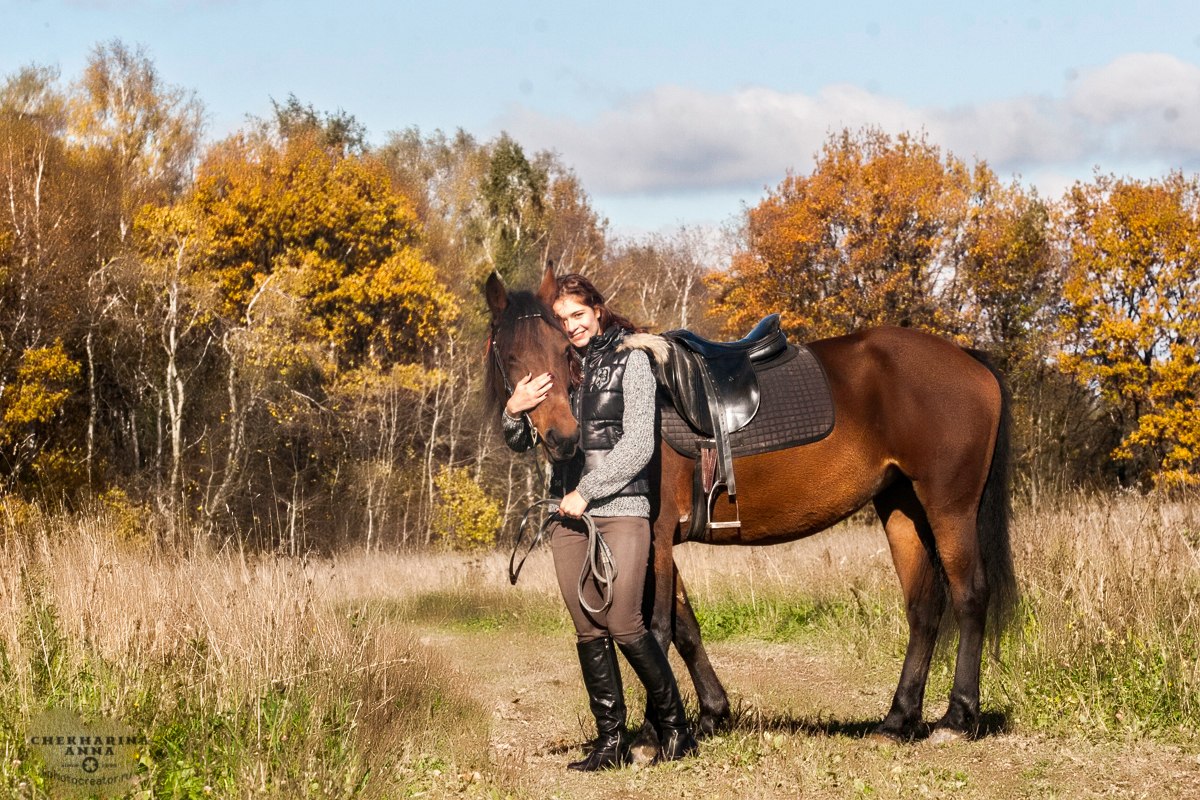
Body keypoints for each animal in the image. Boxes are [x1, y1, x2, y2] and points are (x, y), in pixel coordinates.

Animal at [482, 267, 1017, 743]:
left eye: (562, 349)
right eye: (510, 355)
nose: (563, 436)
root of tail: (968, 358)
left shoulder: (654, 536)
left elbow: (655, 627)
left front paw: (654, 736)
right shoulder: (660, 543)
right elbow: (686, 628)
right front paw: (710, 715)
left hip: (949, 506)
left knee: (970, 595)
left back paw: (957, 718)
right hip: (903, 508)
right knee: (924, 609)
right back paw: (897, 720)